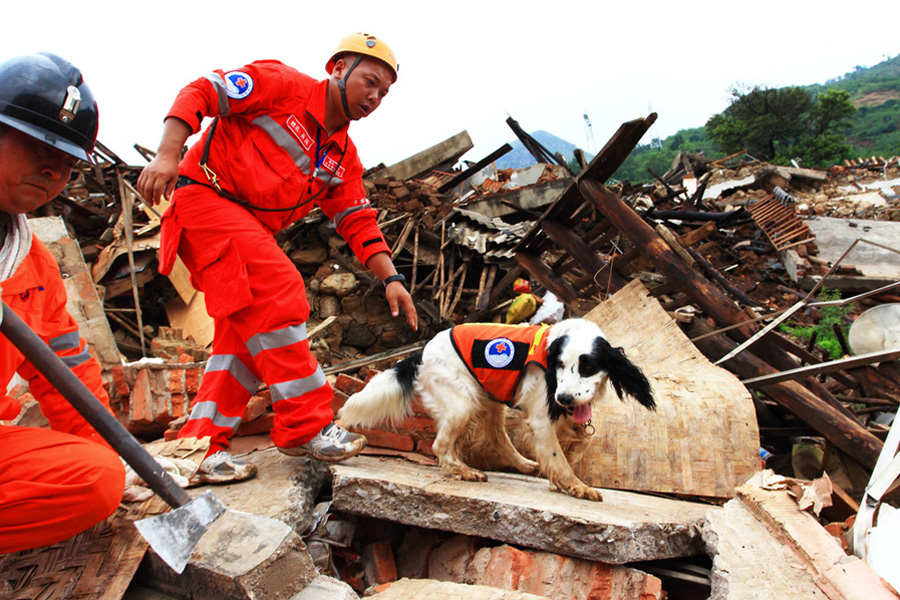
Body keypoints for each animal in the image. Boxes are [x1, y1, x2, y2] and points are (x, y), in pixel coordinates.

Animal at [340, 318, 652, 502]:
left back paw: (524, 465)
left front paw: (564, 481)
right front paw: (578, 486)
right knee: (442, 446)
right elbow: (559, 459)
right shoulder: (542, 419)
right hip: (462, 404)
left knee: (497, 439)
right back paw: (465, 471)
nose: (563, 398)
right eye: (560, 365)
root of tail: (423, 352)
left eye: (588, 366)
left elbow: (570, 451)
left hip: (489, 399)